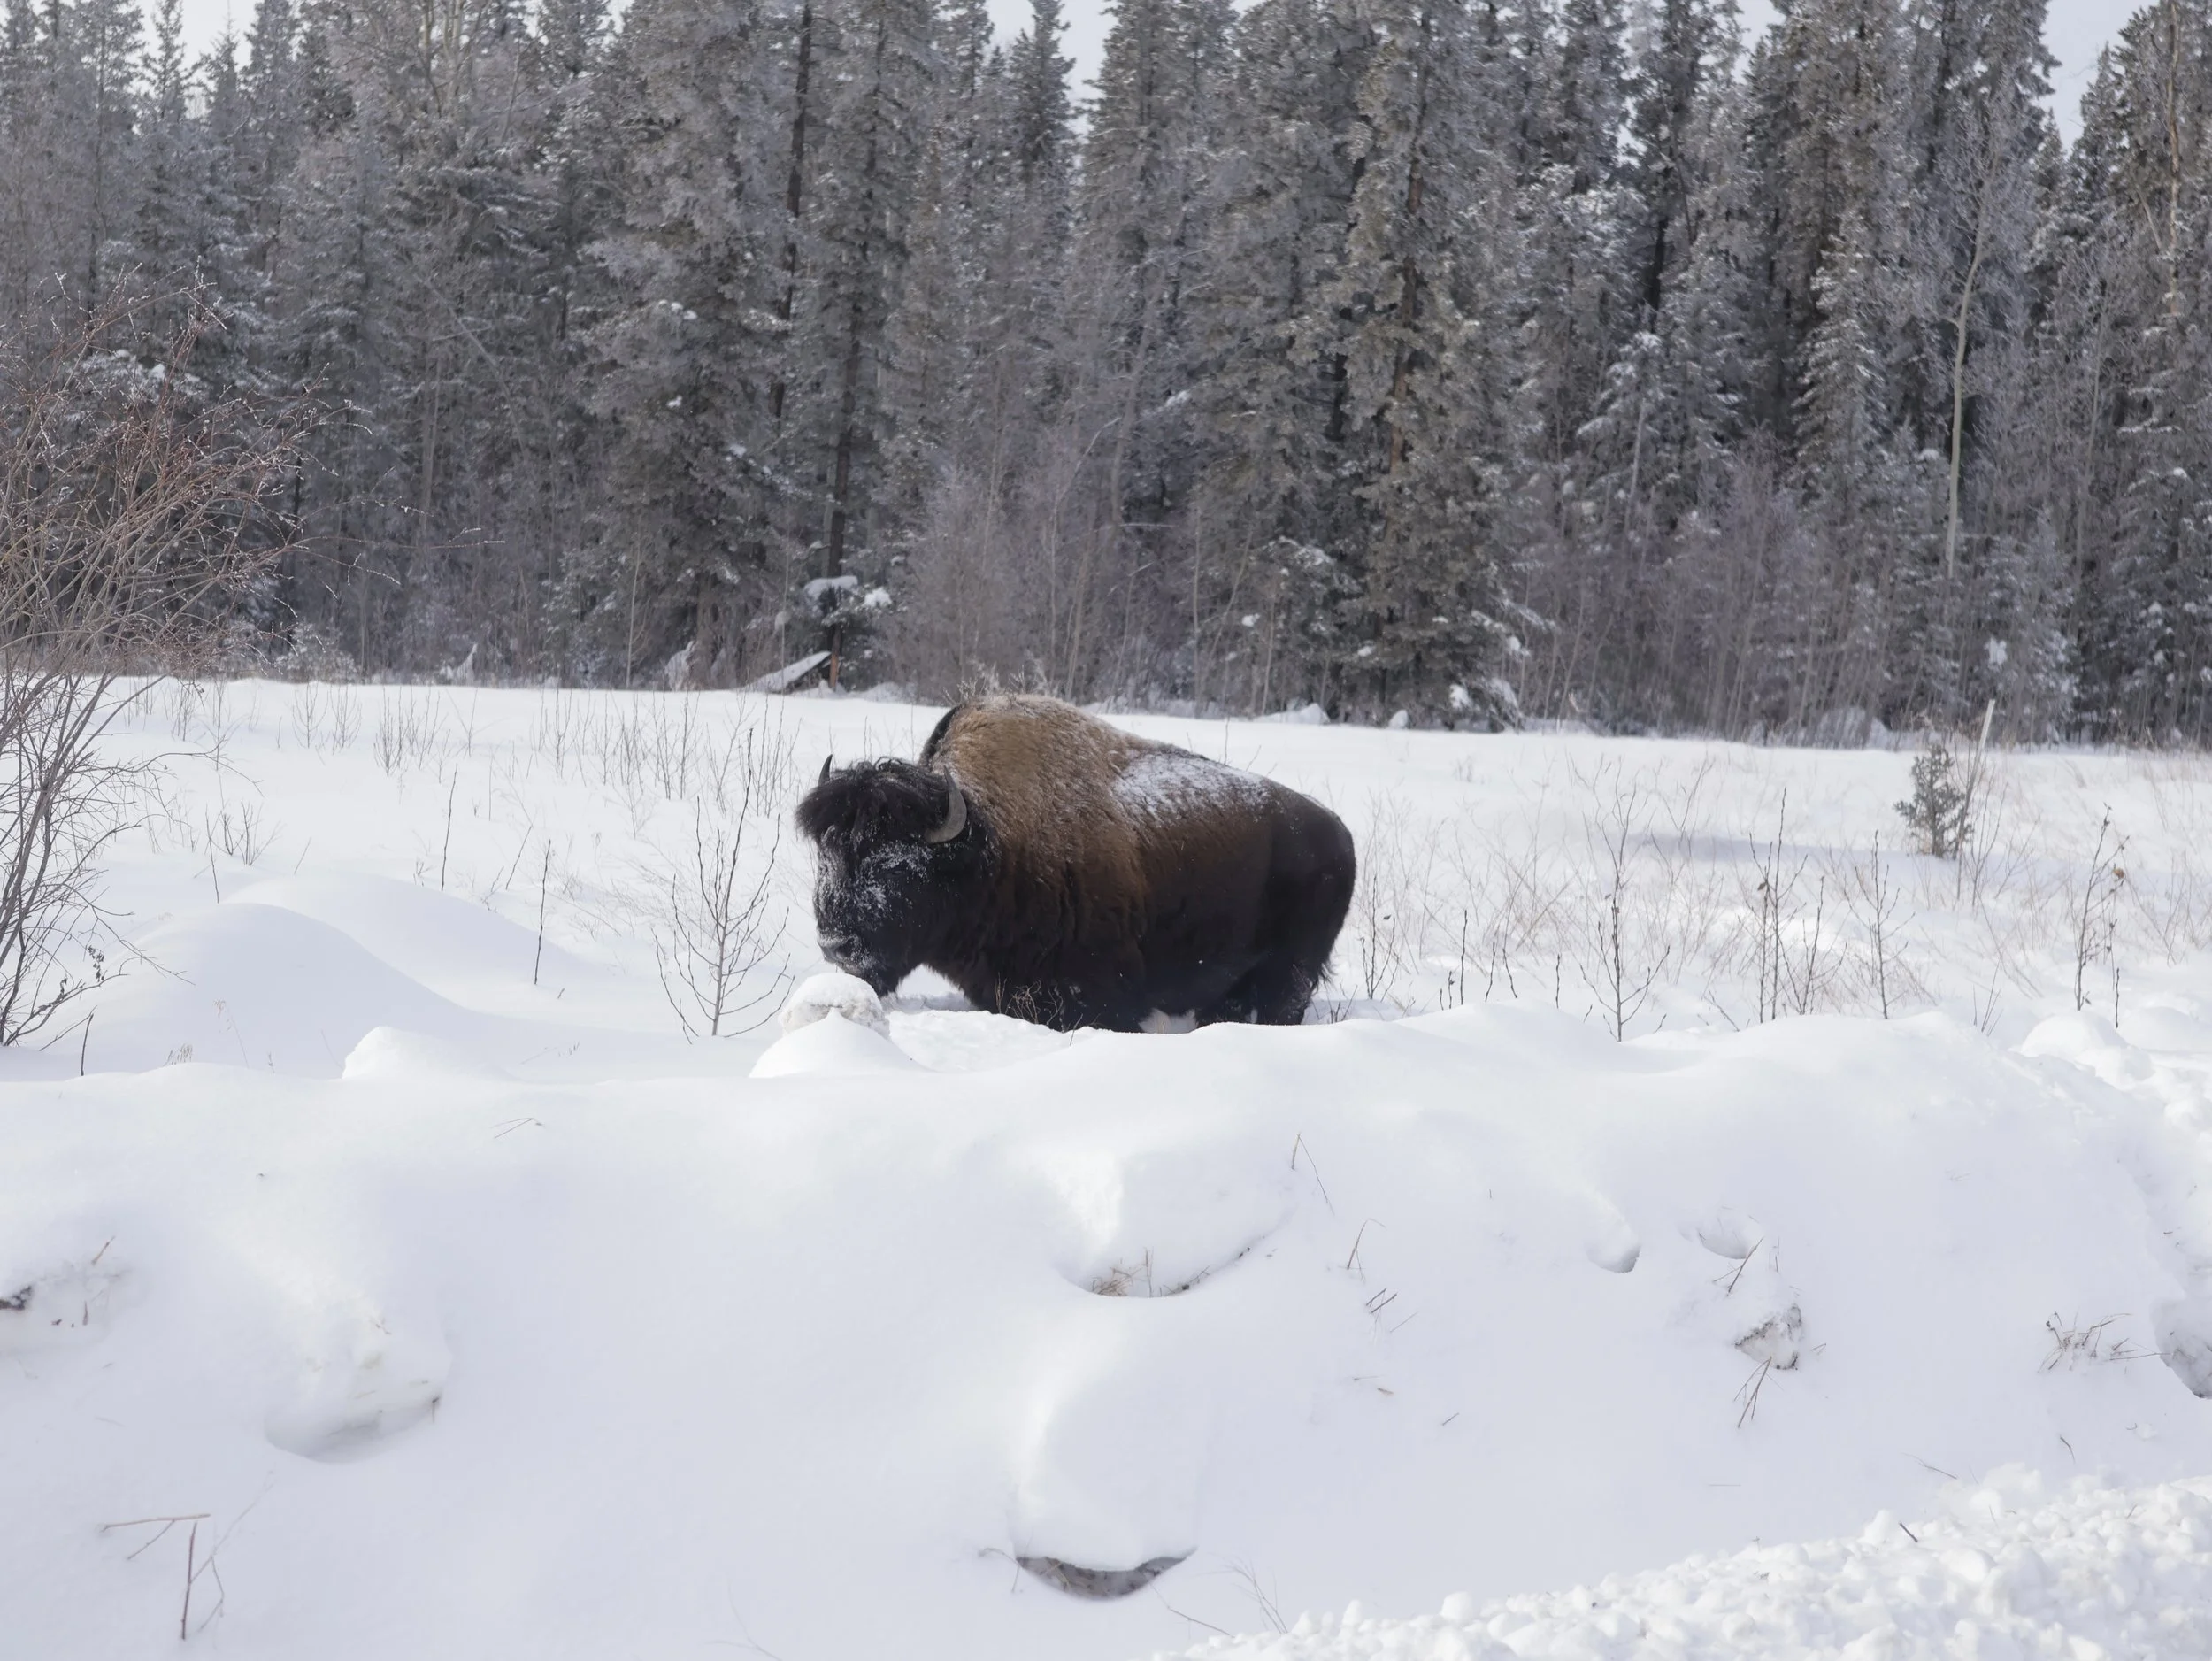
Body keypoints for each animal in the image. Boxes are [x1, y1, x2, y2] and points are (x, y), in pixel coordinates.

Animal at [794, 694, 1356, 1031]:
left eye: (896, 863)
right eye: (826, 852)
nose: (836, 944)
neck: (989, 848)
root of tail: (1340, 833)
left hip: (1293, 971)